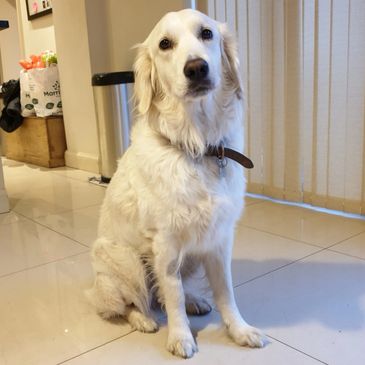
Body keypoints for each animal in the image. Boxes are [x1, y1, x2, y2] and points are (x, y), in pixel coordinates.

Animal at [87, 8, 266, 358]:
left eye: (206, 33)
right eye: (165, 44)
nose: (196, 68)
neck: (197, 146)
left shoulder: (219, 239)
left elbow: (226, 292)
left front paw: (239, 330)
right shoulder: (166, 243)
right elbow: (173, 295)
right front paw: (181, 336)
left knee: (159, 293)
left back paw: (196, 300)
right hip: (126, 260)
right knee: (134, 301)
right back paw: (143, 319)